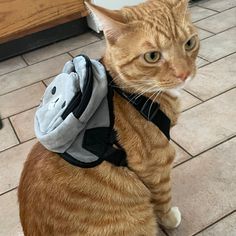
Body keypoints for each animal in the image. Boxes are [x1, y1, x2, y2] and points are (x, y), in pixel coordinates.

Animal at [18, 0, 199, 235]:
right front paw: (170, 219)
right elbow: (163, 201)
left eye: (189, 43)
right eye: (152, 56)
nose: (184, 74)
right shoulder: (156, 168)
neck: (132, 94)